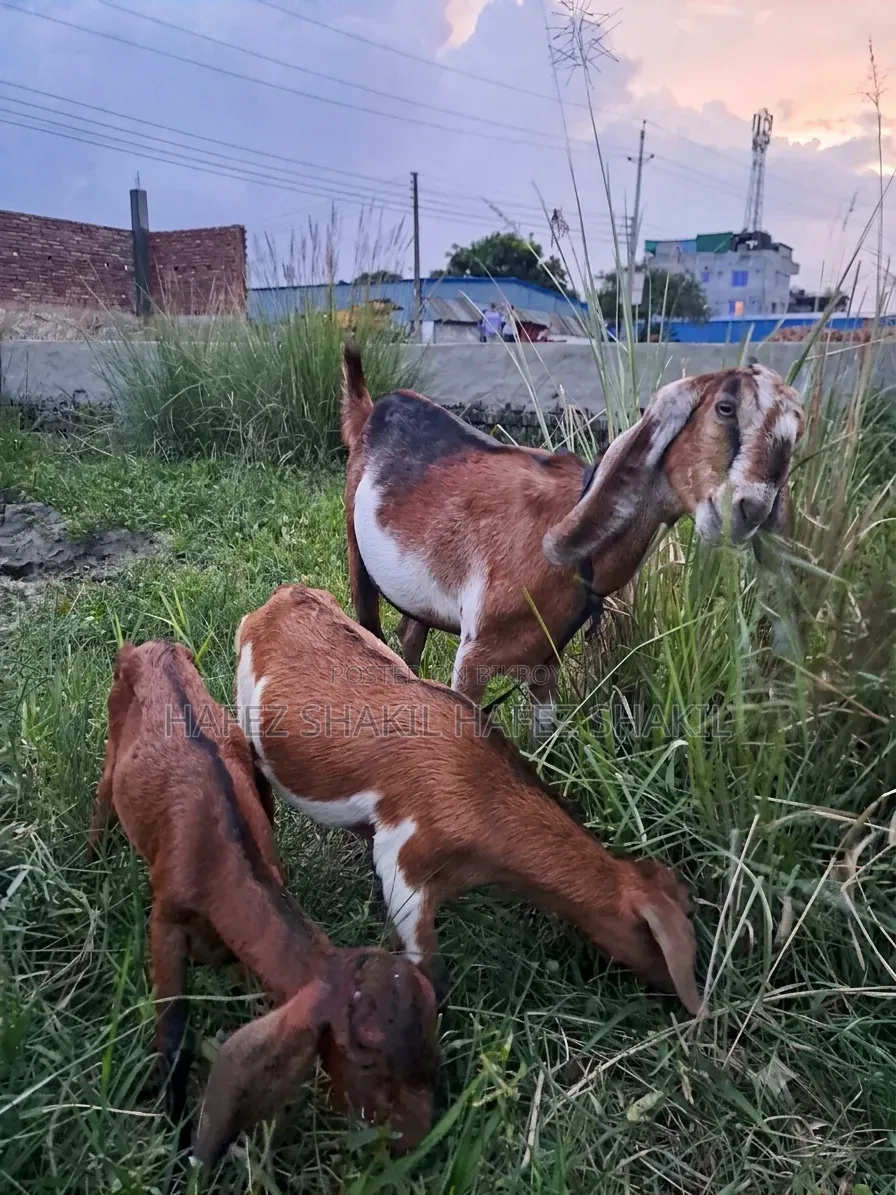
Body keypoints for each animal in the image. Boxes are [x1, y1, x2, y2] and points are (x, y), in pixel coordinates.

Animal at [86, 639, 440, 1171]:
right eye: (366, 1054)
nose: (420, 1144)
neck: (219, 856)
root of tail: (153, 645)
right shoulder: (165, 919)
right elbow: (174, 1038)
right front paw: (175, 1138)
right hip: (112, 733)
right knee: (103, 794)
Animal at [340, 342, 803, 731]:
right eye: (725, 407)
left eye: (795, 438)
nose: (750, 509)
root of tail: (374, 409)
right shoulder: (473, 657)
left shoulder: (547, 660)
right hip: (356, 551)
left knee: (411, 635)